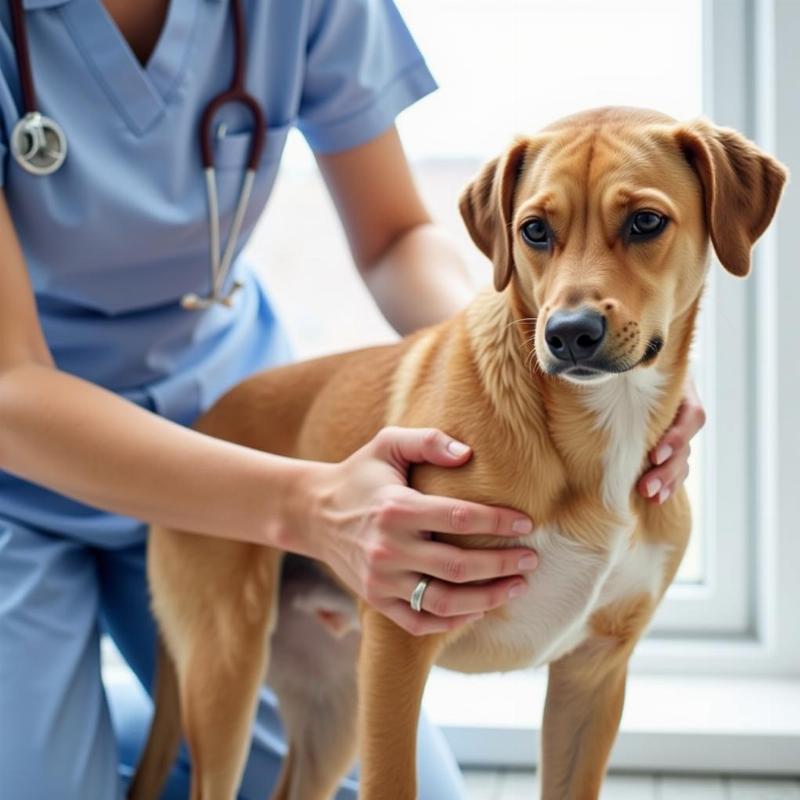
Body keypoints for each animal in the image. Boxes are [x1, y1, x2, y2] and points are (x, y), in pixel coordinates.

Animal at [131, 108, 788, 800]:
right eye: (534, 230)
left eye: (645, 222)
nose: (569, 334)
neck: (601, 427)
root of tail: (202, 420)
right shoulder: (396, 645)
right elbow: (393, 780)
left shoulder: (593, 674)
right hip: (228, 668)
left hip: (333, 698)